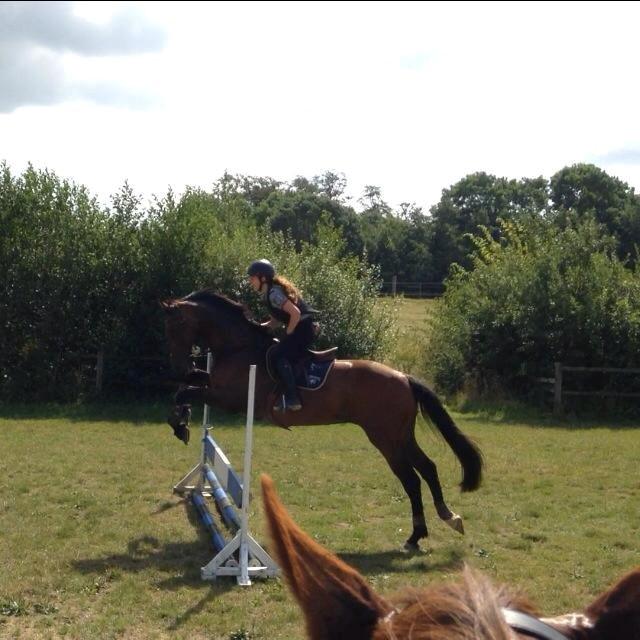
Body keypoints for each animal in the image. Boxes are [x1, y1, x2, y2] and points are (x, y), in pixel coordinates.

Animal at [159, 290, 480, 552]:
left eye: (176, 327)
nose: (177, 366)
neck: (239, 347)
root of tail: (404, 377)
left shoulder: (230, 398)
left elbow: (185, 390)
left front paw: (180, 424)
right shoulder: (213, 385)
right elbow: (187, 386)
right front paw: (182, 420)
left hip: (385, 438)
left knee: (411, 479)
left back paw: (416, 535)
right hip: (402, 435)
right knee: (428, 468)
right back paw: (446, 518)